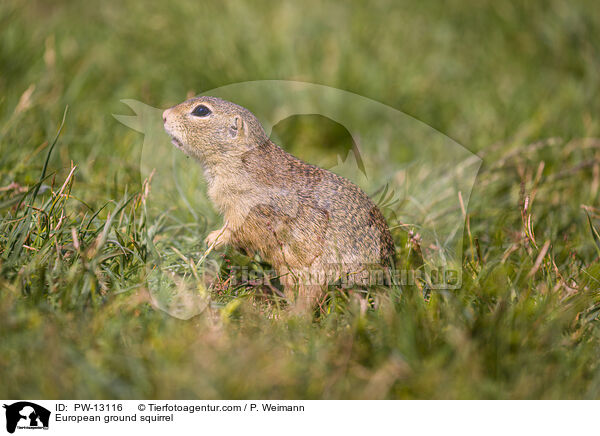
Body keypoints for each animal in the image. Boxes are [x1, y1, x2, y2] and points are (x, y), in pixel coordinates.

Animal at [163, 97, 394, 312]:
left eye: (201, 111)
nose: (164, 115)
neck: (239, 159)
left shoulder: (247, 209)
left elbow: (236, 229)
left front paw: (213, 238)